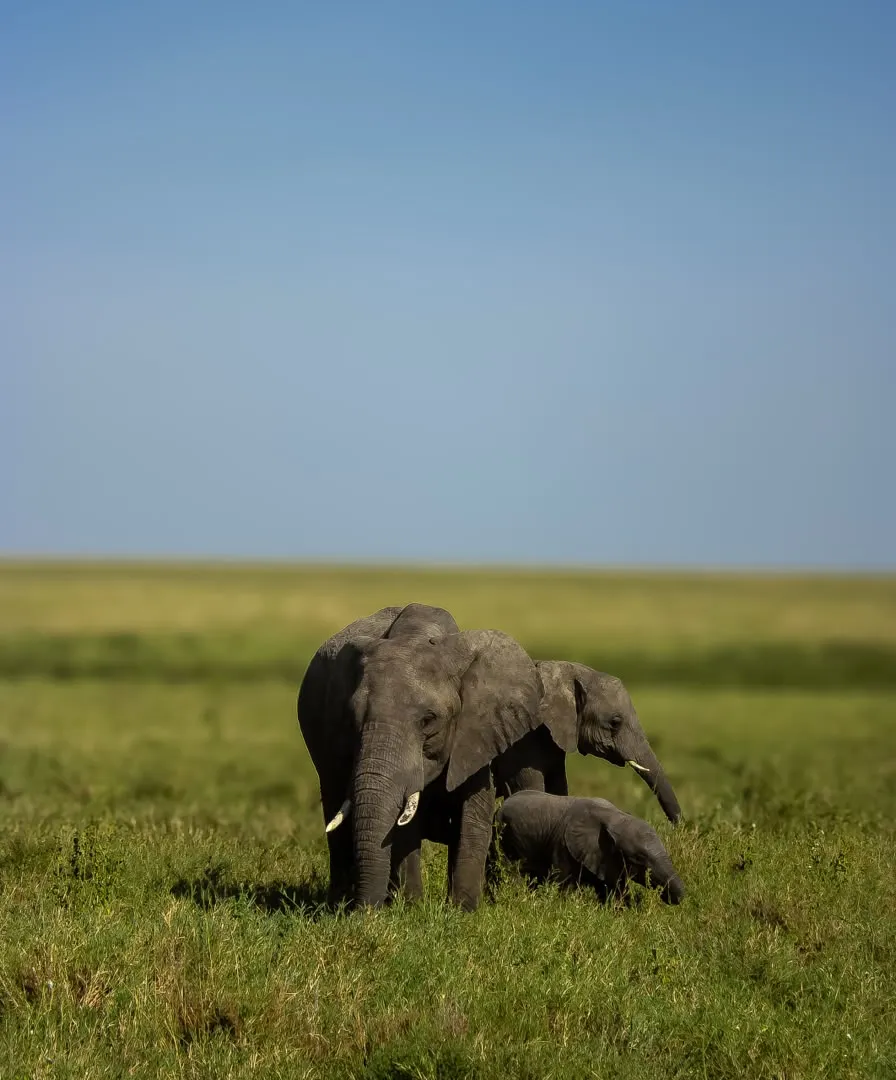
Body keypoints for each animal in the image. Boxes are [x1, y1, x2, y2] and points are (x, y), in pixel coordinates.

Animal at [297, 604, 542, 911]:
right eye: (351, 720)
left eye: (428, 720)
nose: (366, 913)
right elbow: (403, 826)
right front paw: (412, 909)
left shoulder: (477, 733)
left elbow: (473, 814)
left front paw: (462, 911)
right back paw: (339, 905)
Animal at [495, 790, 685, 904]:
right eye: (639, 858)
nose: (681, 898)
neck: (613, 816)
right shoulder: (562, 846)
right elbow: (562, 885)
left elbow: (613, 891)